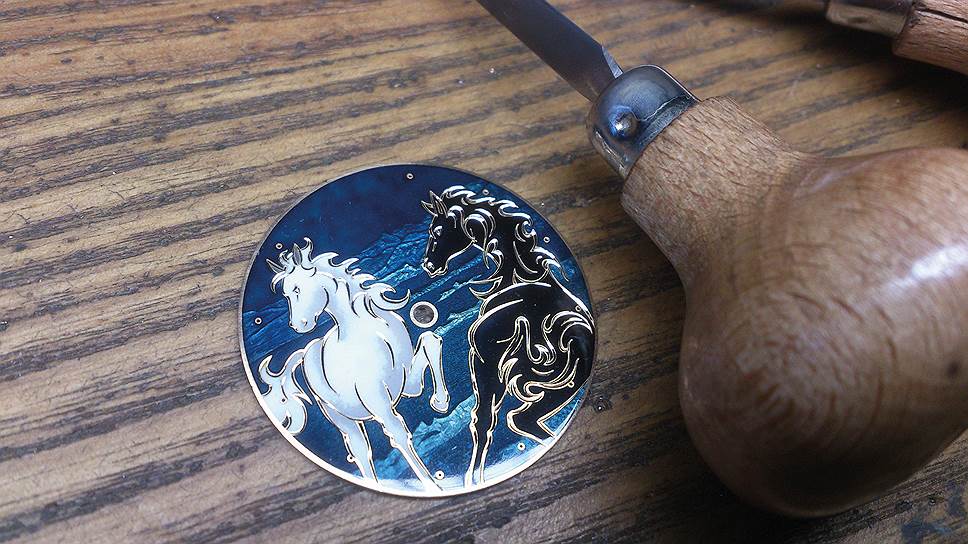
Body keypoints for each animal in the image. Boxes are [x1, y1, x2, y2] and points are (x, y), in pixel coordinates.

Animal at [258, 238, 450, 492]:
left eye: (297, 289)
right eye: (286, 294)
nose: (298, 325)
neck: (366, 330)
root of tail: (307, 352)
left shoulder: (408, 385)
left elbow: (431, 340)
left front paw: (440, 401)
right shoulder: (376, 400)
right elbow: (398, 433)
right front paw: (433, 486)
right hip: (339, 416)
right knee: (360, 451)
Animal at [420, 186, 594, 486]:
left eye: (438, 231)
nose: (428, 265)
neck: (519, 279)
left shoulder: (484, 360)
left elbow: (482, 420)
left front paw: (473, 478)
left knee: (518, 420)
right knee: (524, 421)